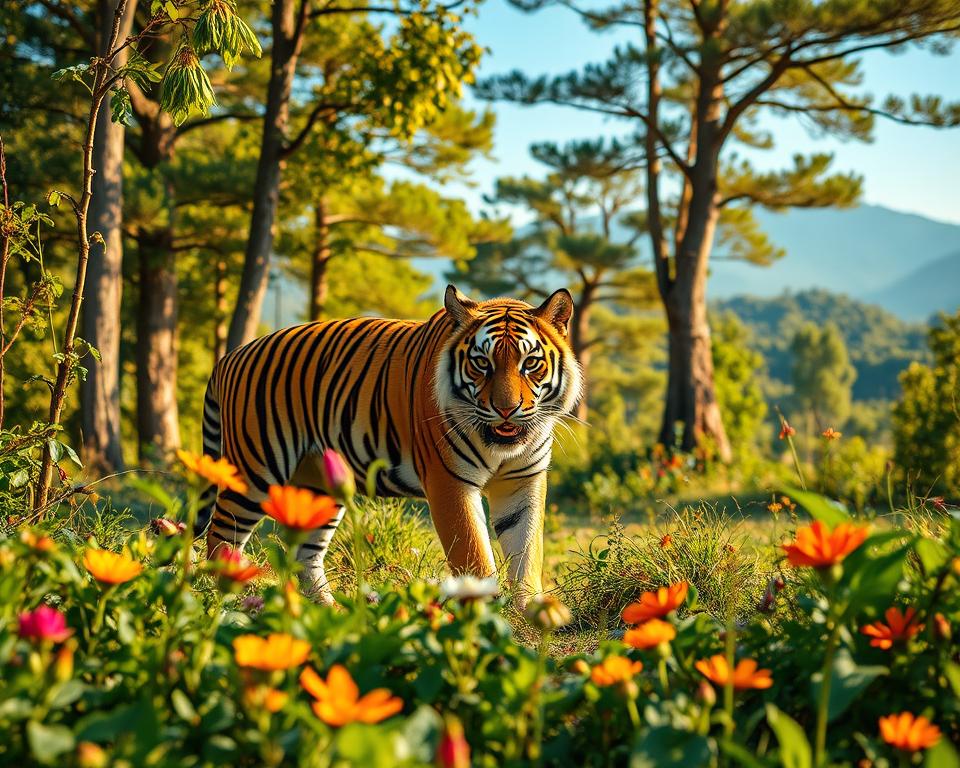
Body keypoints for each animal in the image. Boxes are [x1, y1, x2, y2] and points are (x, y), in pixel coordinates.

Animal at [197, 285, 582, 604]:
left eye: (530, 363)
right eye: (481, 363)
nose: (506, 409)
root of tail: (231, 356)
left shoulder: (522, 482)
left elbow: (527, 551)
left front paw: (529, 613)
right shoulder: (449, 482)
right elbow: (474, 555)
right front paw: (484, 617)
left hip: (318, 484)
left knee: (303, 554)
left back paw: (328, 613)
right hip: (254, 471)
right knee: (219, 536)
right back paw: (228, 601)